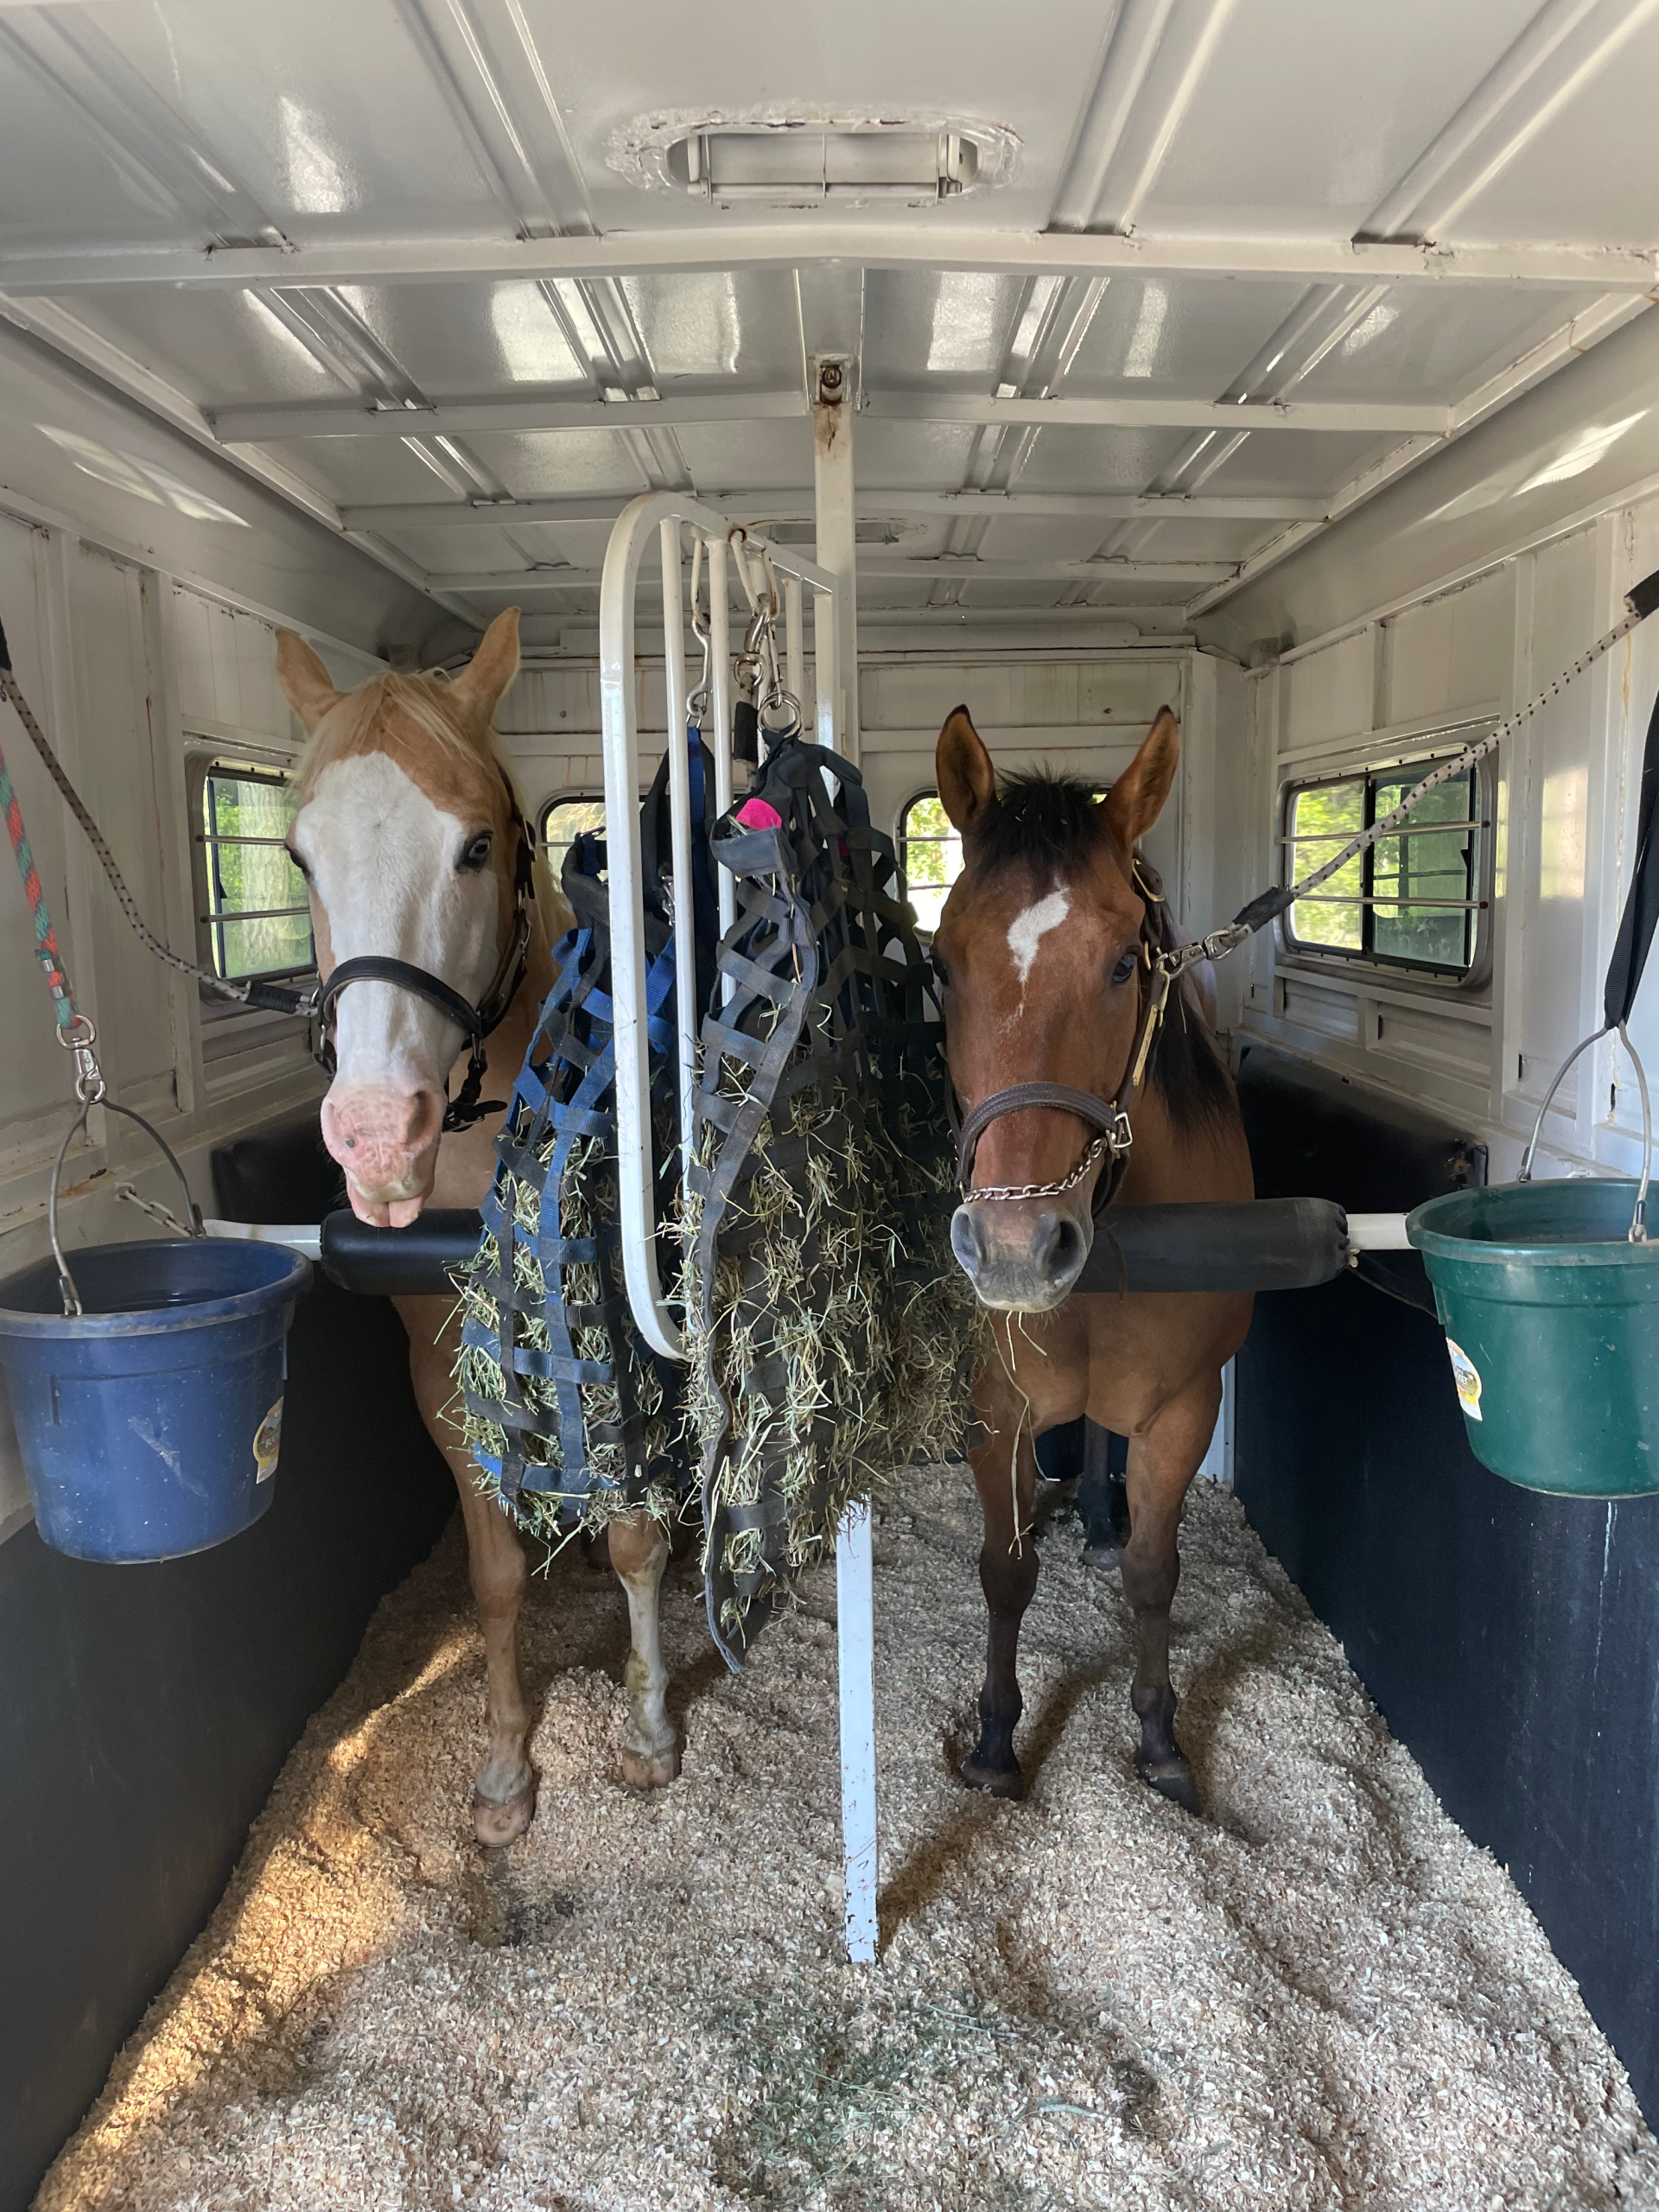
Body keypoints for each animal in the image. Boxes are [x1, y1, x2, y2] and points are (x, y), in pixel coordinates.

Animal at [274, 609, 682, 1847]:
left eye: (476, 847)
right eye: (300, 858)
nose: (376, 1134)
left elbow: (641, 1536)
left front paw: (649, 1729)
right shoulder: (441, 1370)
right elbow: (495, 1577)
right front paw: (504, 1768)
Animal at [929, 701, 1254, 1813]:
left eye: (1123, 962)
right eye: (942, 963)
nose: (1018, 1251)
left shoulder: (1184, 1406)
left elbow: (1157, 1573)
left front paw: (1159, 1735)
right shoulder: (998, 1411)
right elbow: (1002, 1570)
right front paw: (995, 1740)